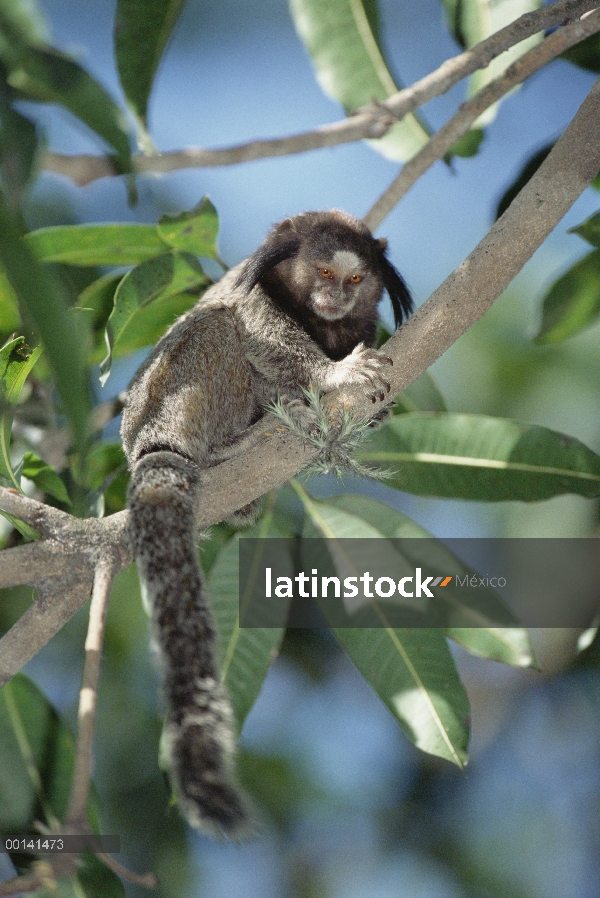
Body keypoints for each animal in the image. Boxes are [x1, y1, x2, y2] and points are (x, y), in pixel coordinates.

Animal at [122, 208, 412, 832]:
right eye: (323, 270)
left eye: (355, 281)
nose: (334, 295)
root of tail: (142, 442)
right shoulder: (255, 294)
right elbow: (259, 333)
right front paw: (336, 376)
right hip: (165, 398)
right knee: (215, 327)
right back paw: (232, 445)